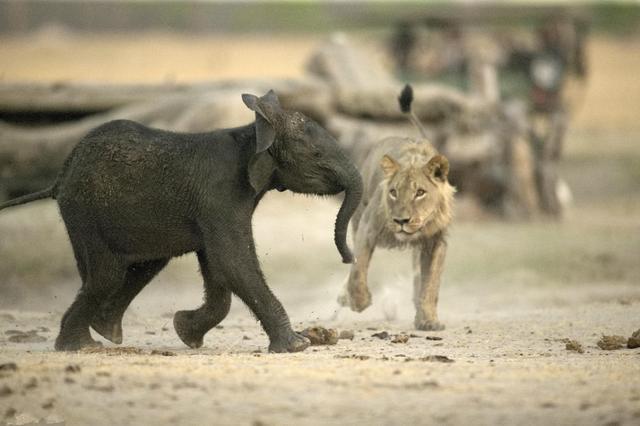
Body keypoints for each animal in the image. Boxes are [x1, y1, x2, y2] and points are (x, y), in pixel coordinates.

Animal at [0, 90, 360, 352]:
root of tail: (60, 176)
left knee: (139, 266)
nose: (348, 258)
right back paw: (80, 346)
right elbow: (233, 262)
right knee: (107, 275)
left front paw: (185, 333)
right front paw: (298, 345)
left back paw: (104, 332)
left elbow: (219, 272)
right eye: (316, 155)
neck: (253, 134)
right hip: (86, 212)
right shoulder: (220, 196)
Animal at [338, 85, 458, 332]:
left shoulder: (437, 242)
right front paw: (359, 301)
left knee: (418, 279)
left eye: (420, 192)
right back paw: (345, 297)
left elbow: (430, 284)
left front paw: (429, 320)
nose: (401, 221)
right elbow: (358, 268)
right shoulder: (368, 227)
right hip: (358, 218)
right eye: (393, 192)